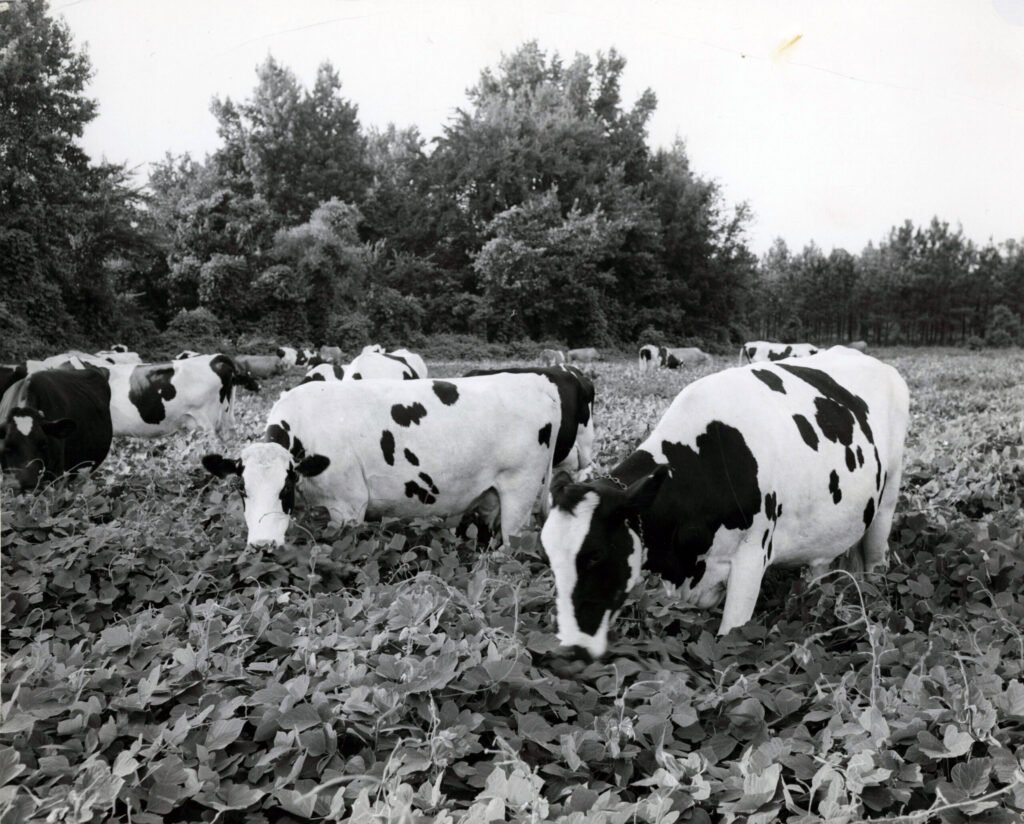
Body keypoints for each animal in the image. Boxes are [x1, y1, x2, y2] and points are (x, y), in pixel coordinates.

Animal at [202, 374, 562, 546]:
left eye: (284, 489)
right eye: (242, 490)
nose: (263, 544)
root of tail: (537, 382)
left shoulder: (348, 507)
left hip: (519, 491)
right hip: (490, 493)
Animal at [540, 347, 909, 659]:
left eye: (595, 555)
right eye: (551, 557)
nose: (569, 648)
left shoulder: (752, 556)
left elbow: (730, 638)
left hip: (887, 500)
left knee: (876, 560)